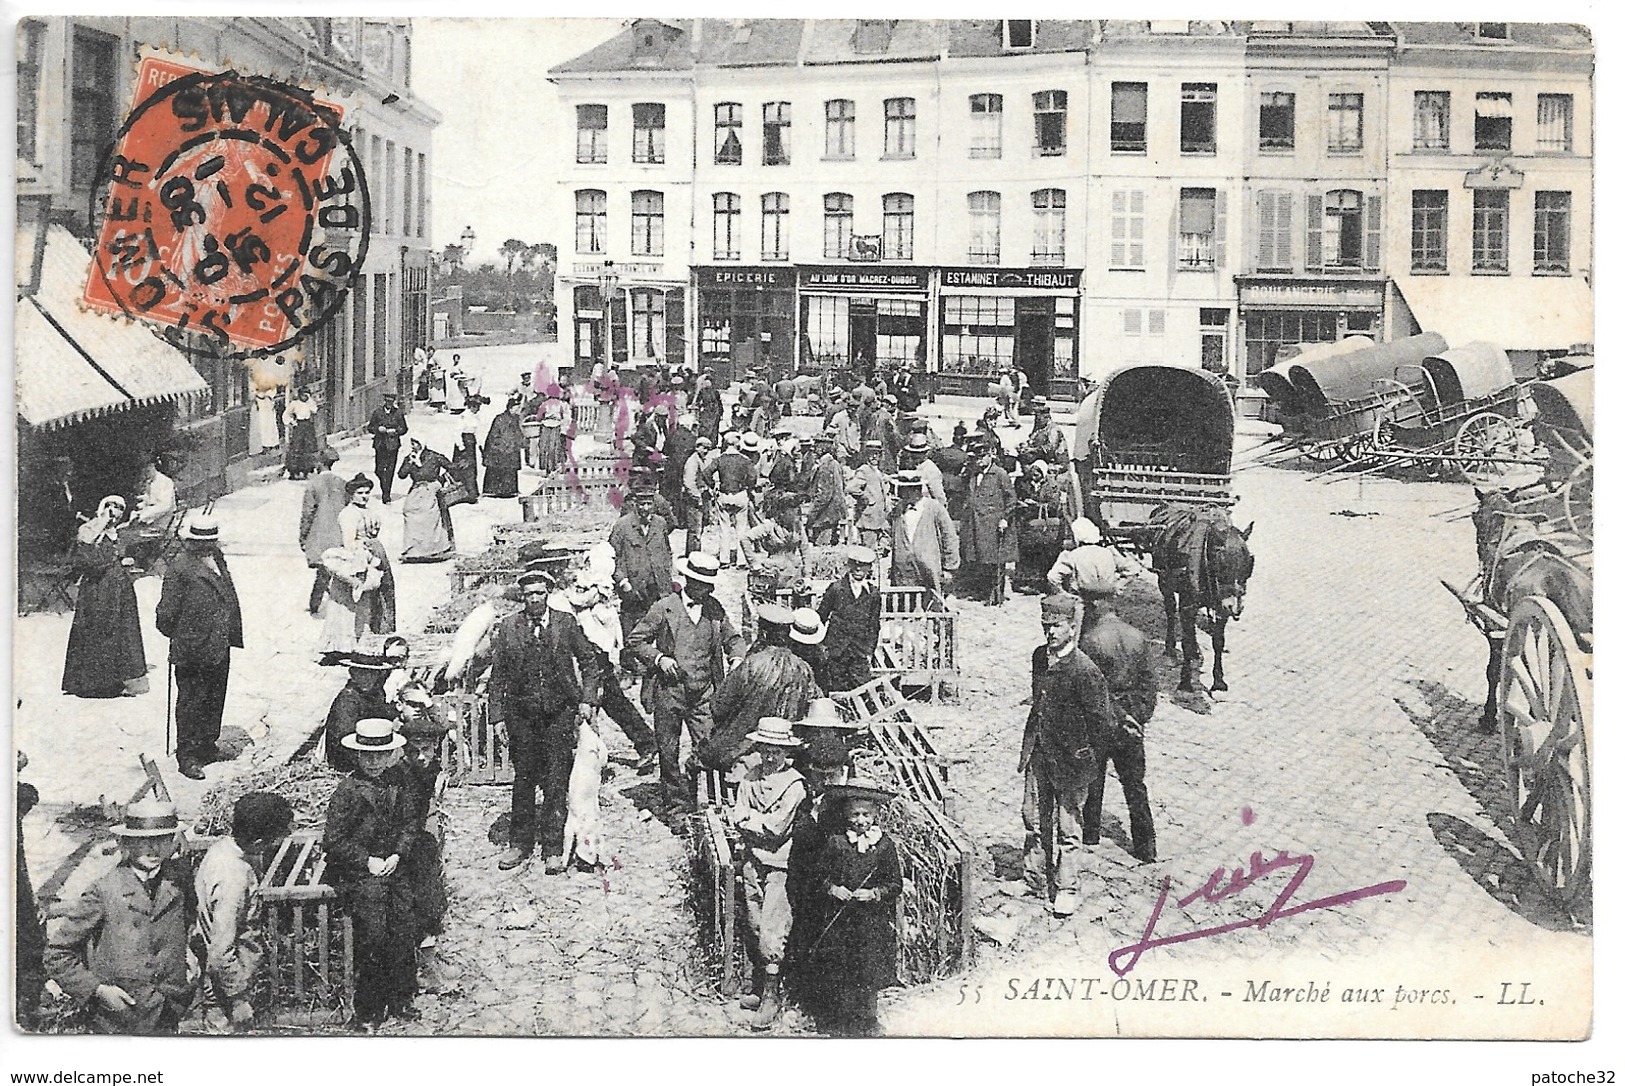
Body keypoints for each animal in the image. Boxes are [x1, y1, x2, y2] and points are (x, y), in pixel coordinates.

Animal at [1144, 503, 1254, 692]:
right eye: (1221, 563)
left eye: (1248, 564)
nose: (1235, 607)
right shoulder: (1188, 603)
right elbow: (1186, 642)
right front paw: (1185, 681)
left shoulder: (1221, 608)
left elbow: (1218, 641)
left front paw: (1218, 680)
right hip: (1164, 581)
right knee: (1171, 611)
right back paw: (1170, 649)